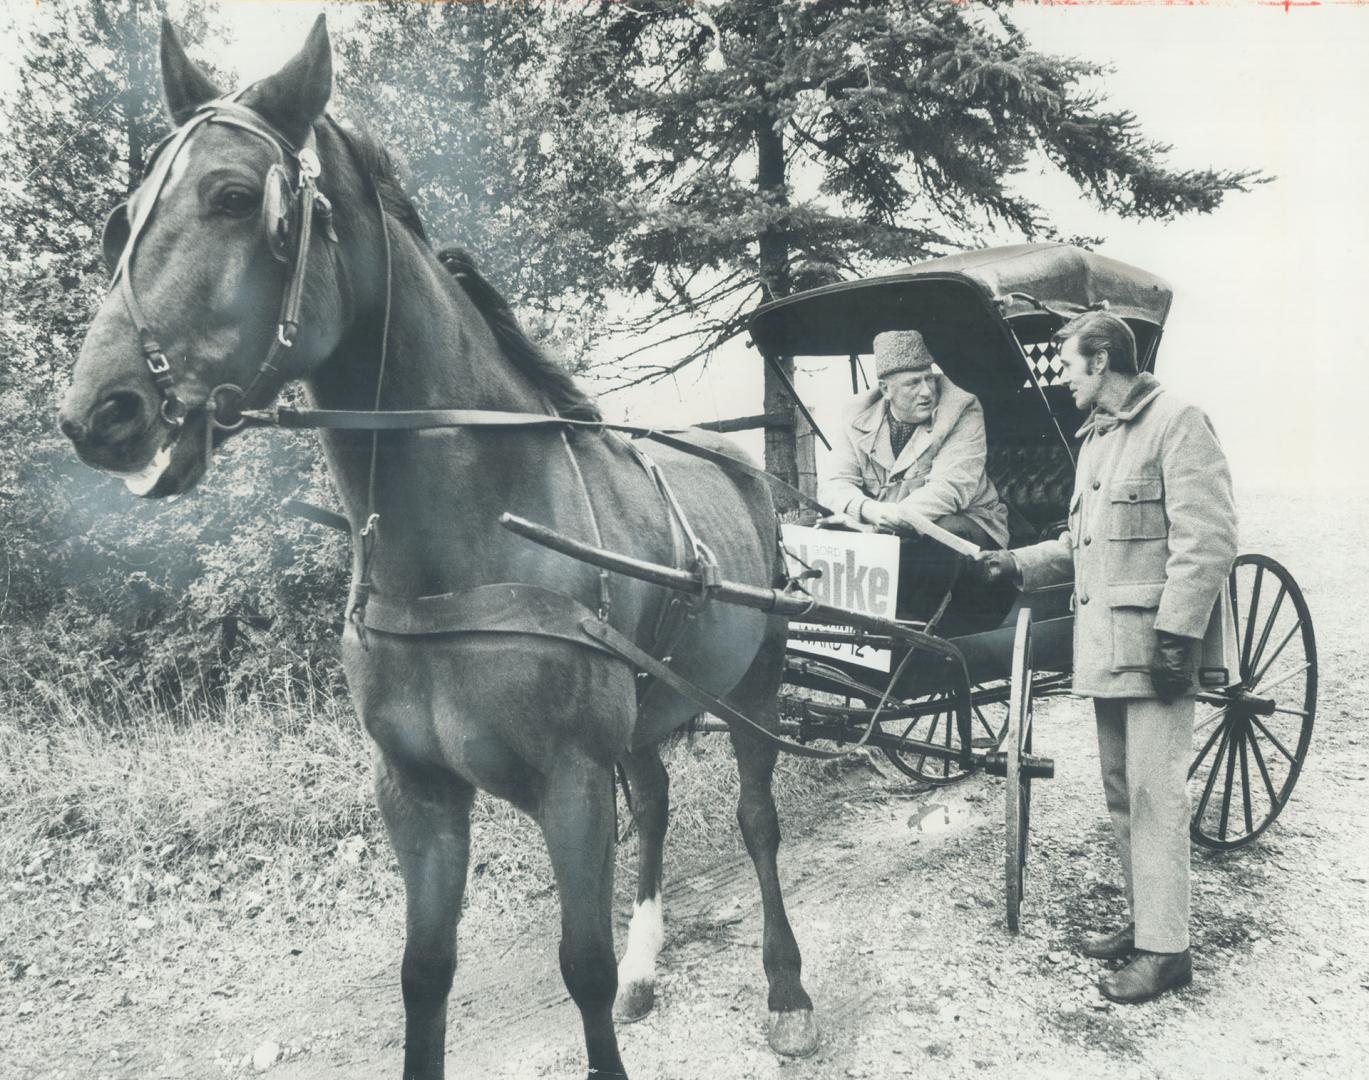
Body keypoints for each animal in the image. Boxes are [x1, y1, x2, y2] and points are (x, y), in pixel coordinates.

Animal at [58, 16, 815, 1078]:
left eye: (236, 197)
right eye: (122, 220)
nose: (98, 413)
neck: (468, 552)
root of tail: (744, 462)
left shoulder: (571, 783)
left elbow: (579, 965)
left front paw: (624, 980)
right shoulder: (417, 795)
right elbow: (423, 976)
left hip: (755, 684)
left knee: (756, 820)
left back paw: (785, 988)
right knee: (659, 803)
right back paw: (649, 967)